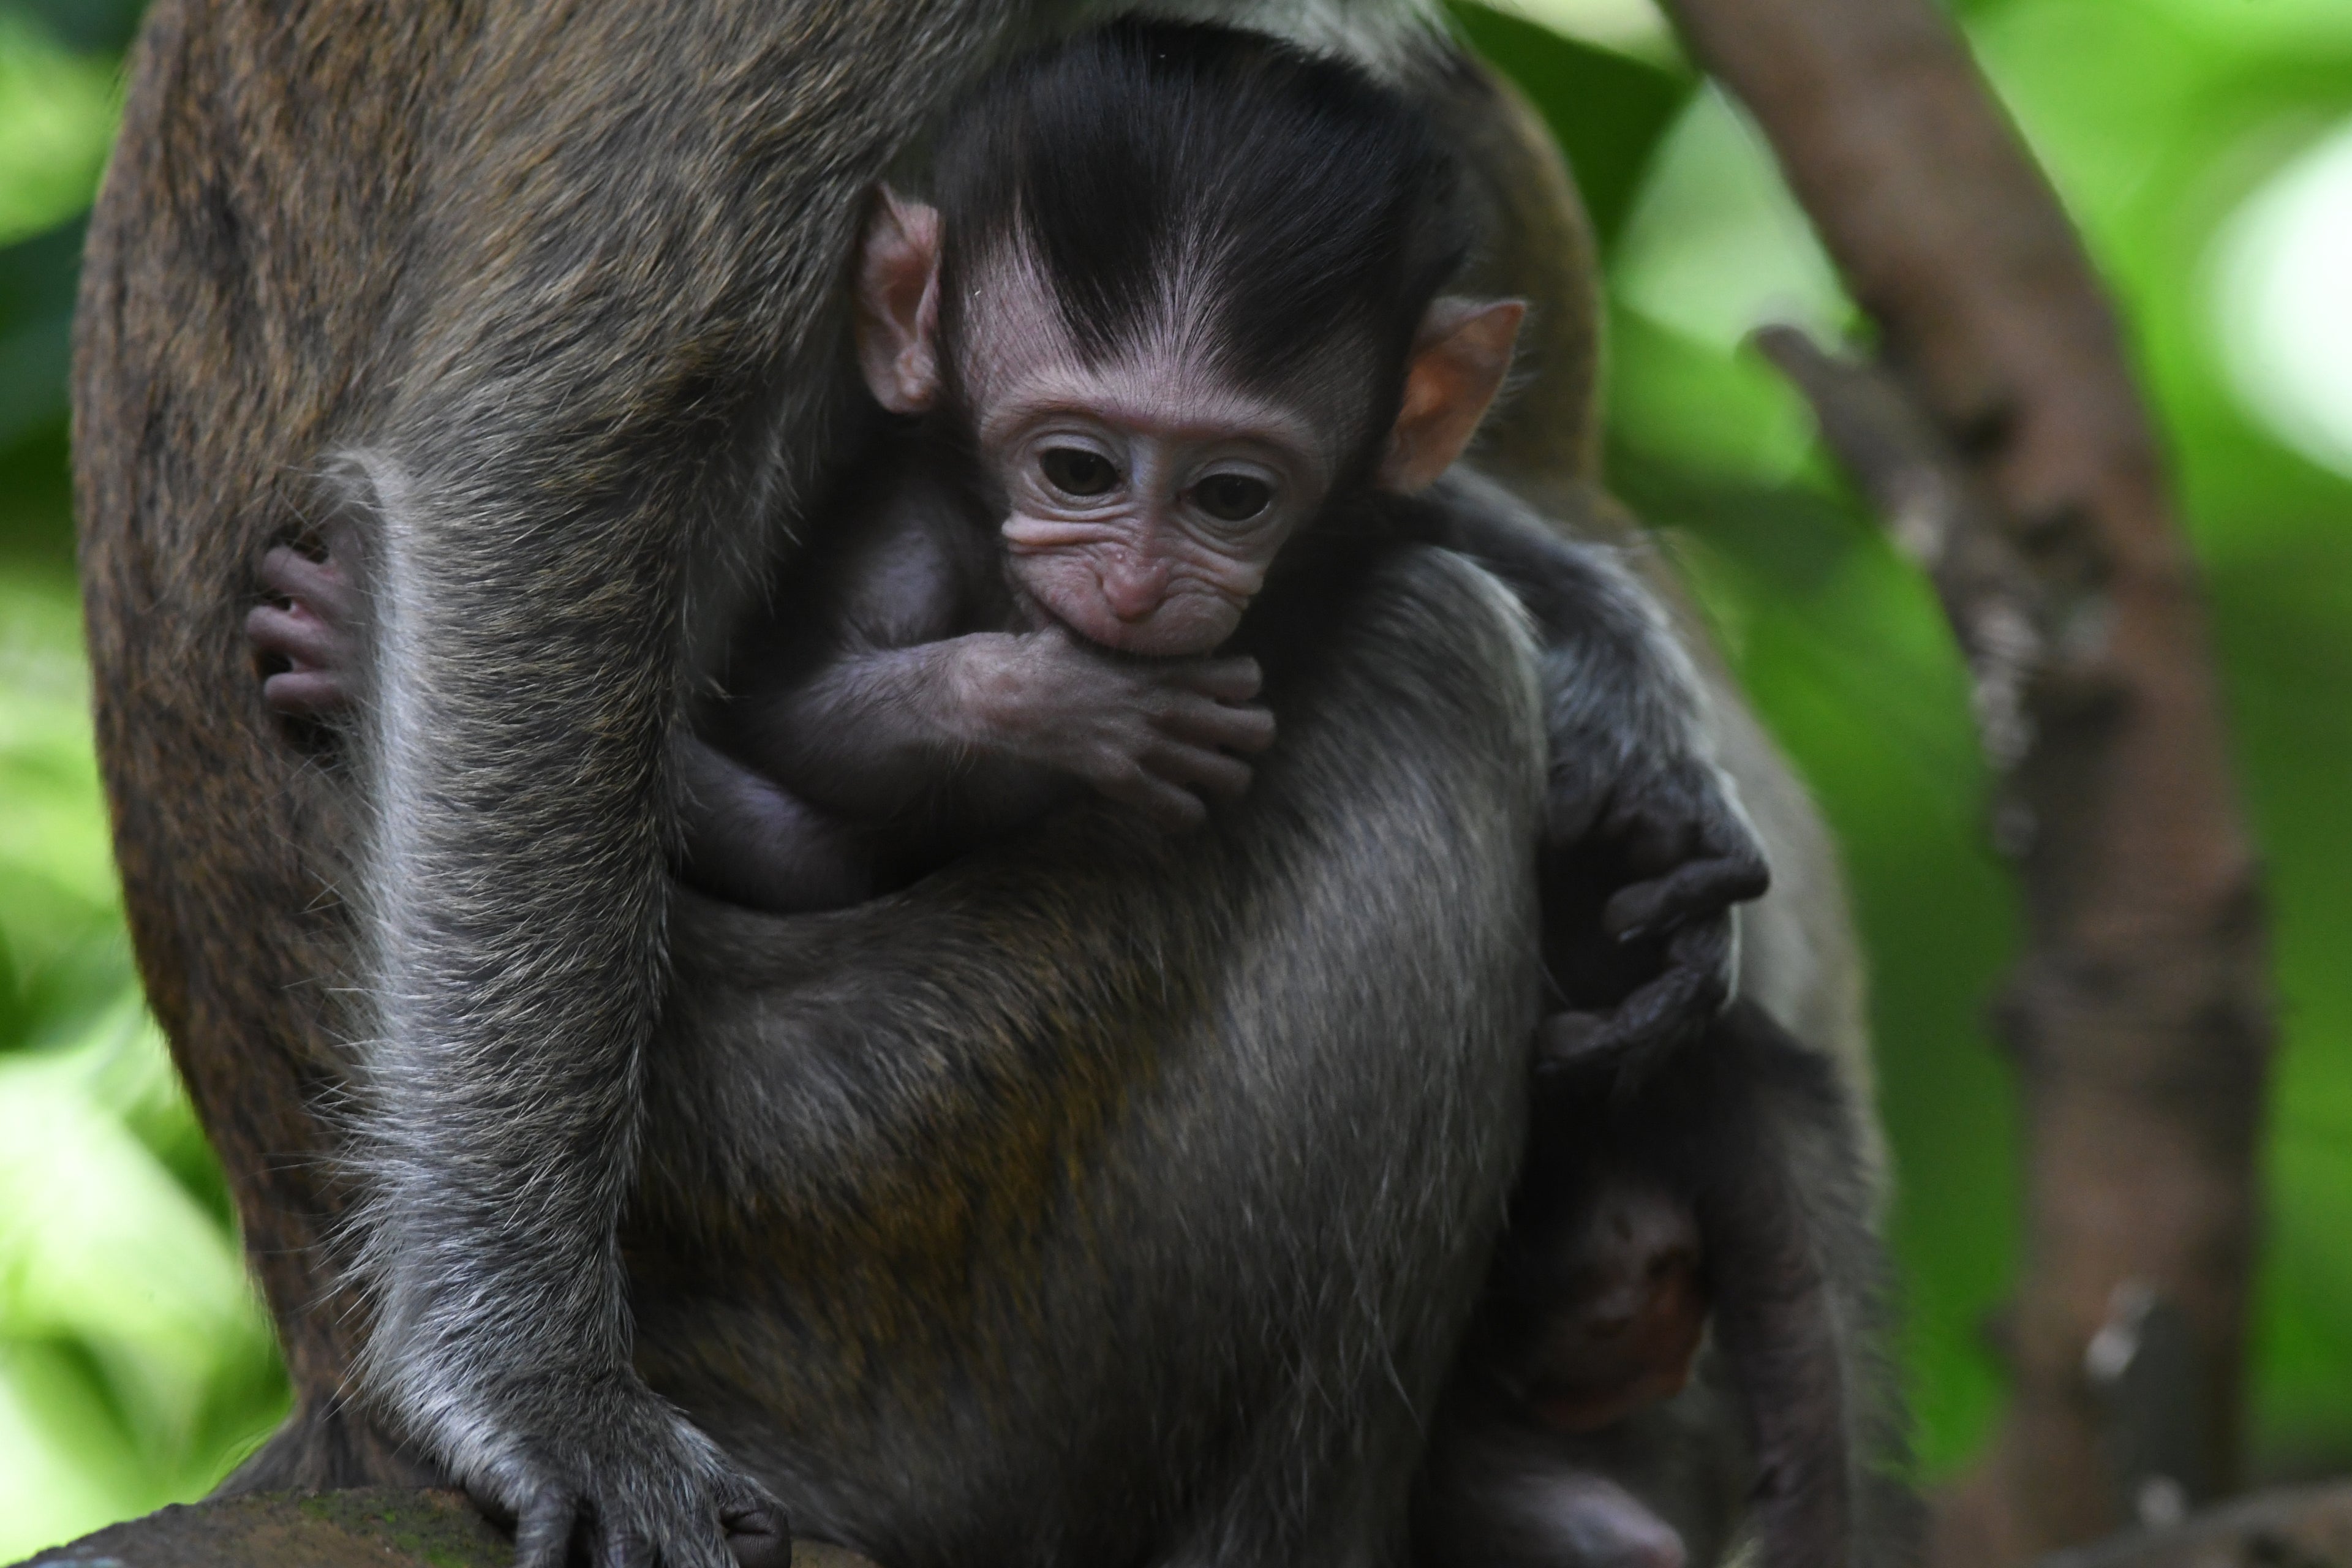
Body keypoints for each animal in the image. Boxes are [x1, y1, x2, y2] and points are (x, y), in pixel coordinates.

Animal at [76, 6, 1910, 1568]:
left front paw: (1629, 706)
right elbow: (551, 447)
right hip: (879, 1219)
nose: (1141, 584)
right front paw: (535, 1389)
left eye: (1232, 492)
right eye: (1081, 466)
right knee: (1436, 672)